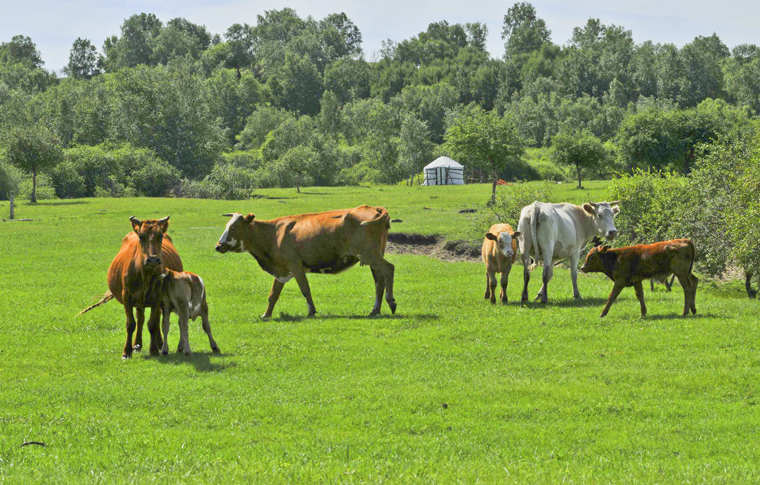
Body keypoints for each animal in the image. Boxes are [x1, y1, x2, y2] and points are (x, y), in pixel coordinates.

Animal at [78, 215, 183, 356]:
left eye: (160, 236)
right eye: (141, 236)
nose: (153, 259)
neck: (146, 274)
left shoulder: (157, 297)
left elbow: (153, 324)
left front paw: (154, 349)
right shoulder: (127, 297)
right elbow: (130, 324)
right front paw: (127, 351)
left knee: (155, 318)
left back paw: (160, 343)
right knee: (140, 319)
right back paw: (137, 345)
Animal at [212, 204, 392, 318]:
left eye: (233, 228)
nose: (218, 246)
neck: (273, 234)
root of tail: (374, 208)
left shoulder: (295, 266)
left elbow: (305, 289)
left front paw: (311, 311)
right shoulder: (281, 271)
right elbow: (273, 295)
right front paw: (266, 314)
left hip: (369, 254)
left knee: (389, 269)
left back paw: (391, 302)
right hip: (373, 257)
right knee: (379, 281)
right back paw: (375, 310)